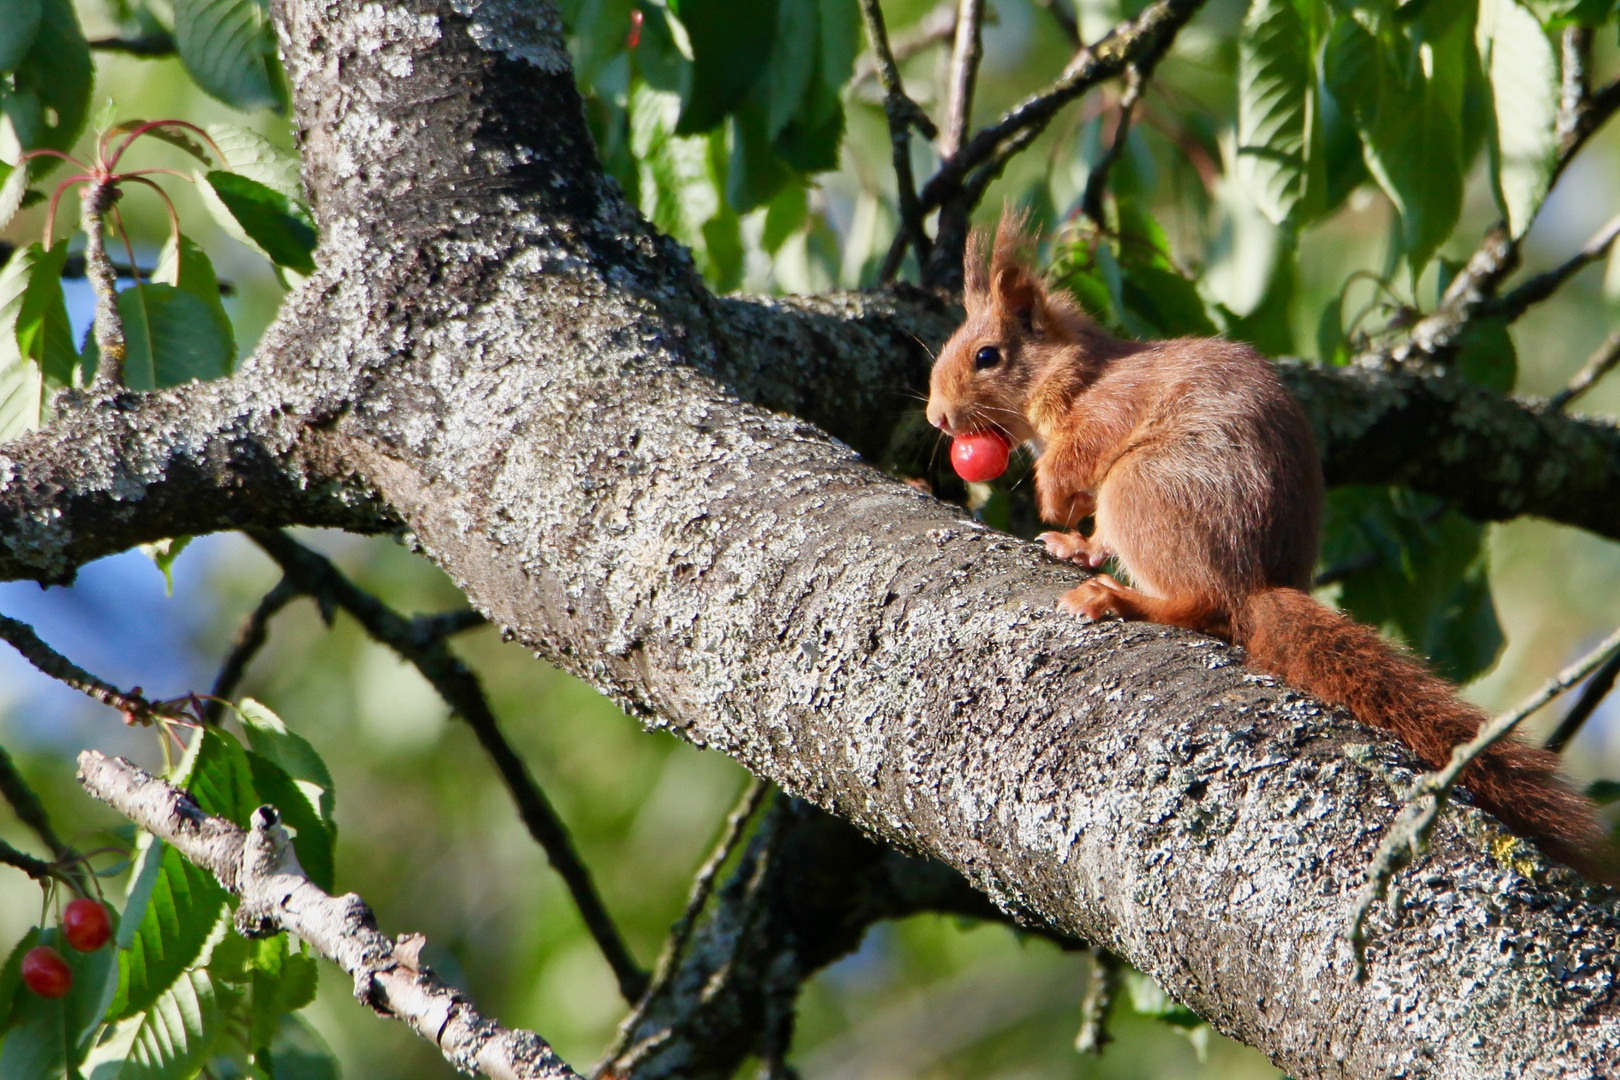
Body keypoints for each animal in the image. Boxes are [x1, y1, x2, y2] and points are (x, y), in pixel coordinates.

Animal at [933, 215, 1613, 880]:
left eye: (987, 356)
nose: (938, 417)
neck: (1076, 376)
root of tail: (1255, 584)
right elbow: (1092, 526)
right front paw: (1072, 539)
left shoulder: (1110, 408)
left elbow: (1081, 452)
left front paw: (1052, 498)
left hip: (1142, 490)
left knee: (1204, 605)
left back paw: (1118, 599)